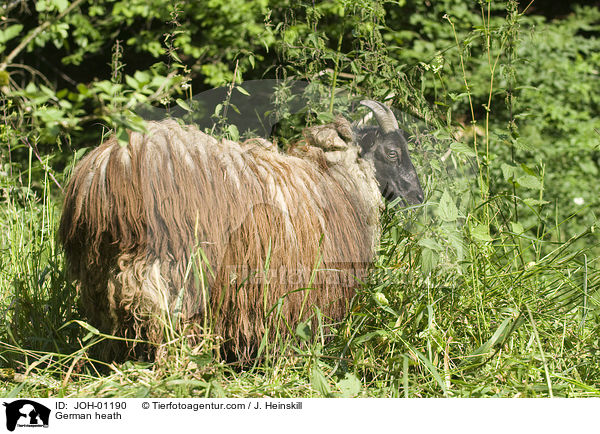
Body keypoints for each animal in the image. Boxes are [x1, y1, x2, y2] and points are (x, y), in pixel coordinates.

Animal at [58, 100, 424, 362]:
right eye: (393, 152)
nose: (420, 197)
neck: (334, 178)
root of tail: (112, 168)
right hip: (174, 269)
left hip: (96, 273)